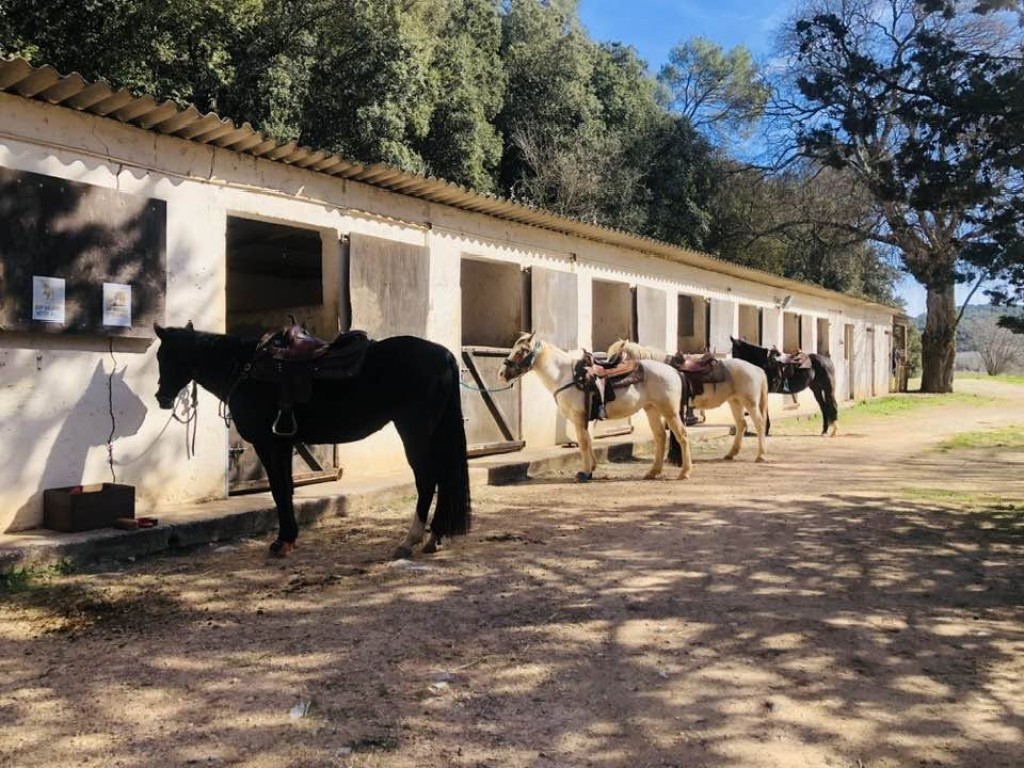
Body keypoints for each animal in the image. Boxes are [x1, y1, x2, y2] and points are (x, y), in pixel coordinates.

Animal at [153, 323, 471, 559]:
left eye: (164, 356)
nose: (161, 398)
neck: (246, 369)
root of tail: (444, 355)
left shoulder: (268, 443)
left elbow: (279, 490)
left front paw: (281, 543)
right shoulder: (283, 444)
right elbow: (286, 489)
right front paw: (289, 539)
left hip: (414, 430)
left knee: (427, 479)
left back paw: (409, 540)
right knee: (440, 478)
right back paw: (434, 537)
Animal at [498, 332, 692, 482]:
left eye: (521, 351)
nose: (501, 374)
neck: (564, 375)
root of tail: (674, 370)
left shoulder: (578, 416)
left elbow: (583, 442)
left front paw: (584, 473)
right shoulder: (583, 418)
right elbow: (588, 440)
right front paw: (591, 469)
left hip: (669, 411)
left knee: (682, 435)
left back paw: (684, 472)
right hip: (651, 409)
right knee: (660, 436)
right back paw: (652, 472)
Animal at [607, 340, 769, 464]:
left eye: (617, 358)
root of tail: (757, 369)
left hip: (750, 403)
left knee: (759, 424)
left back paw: (760, 456)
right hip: (735, 401)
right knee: (741, 425)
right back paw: (731, 454)